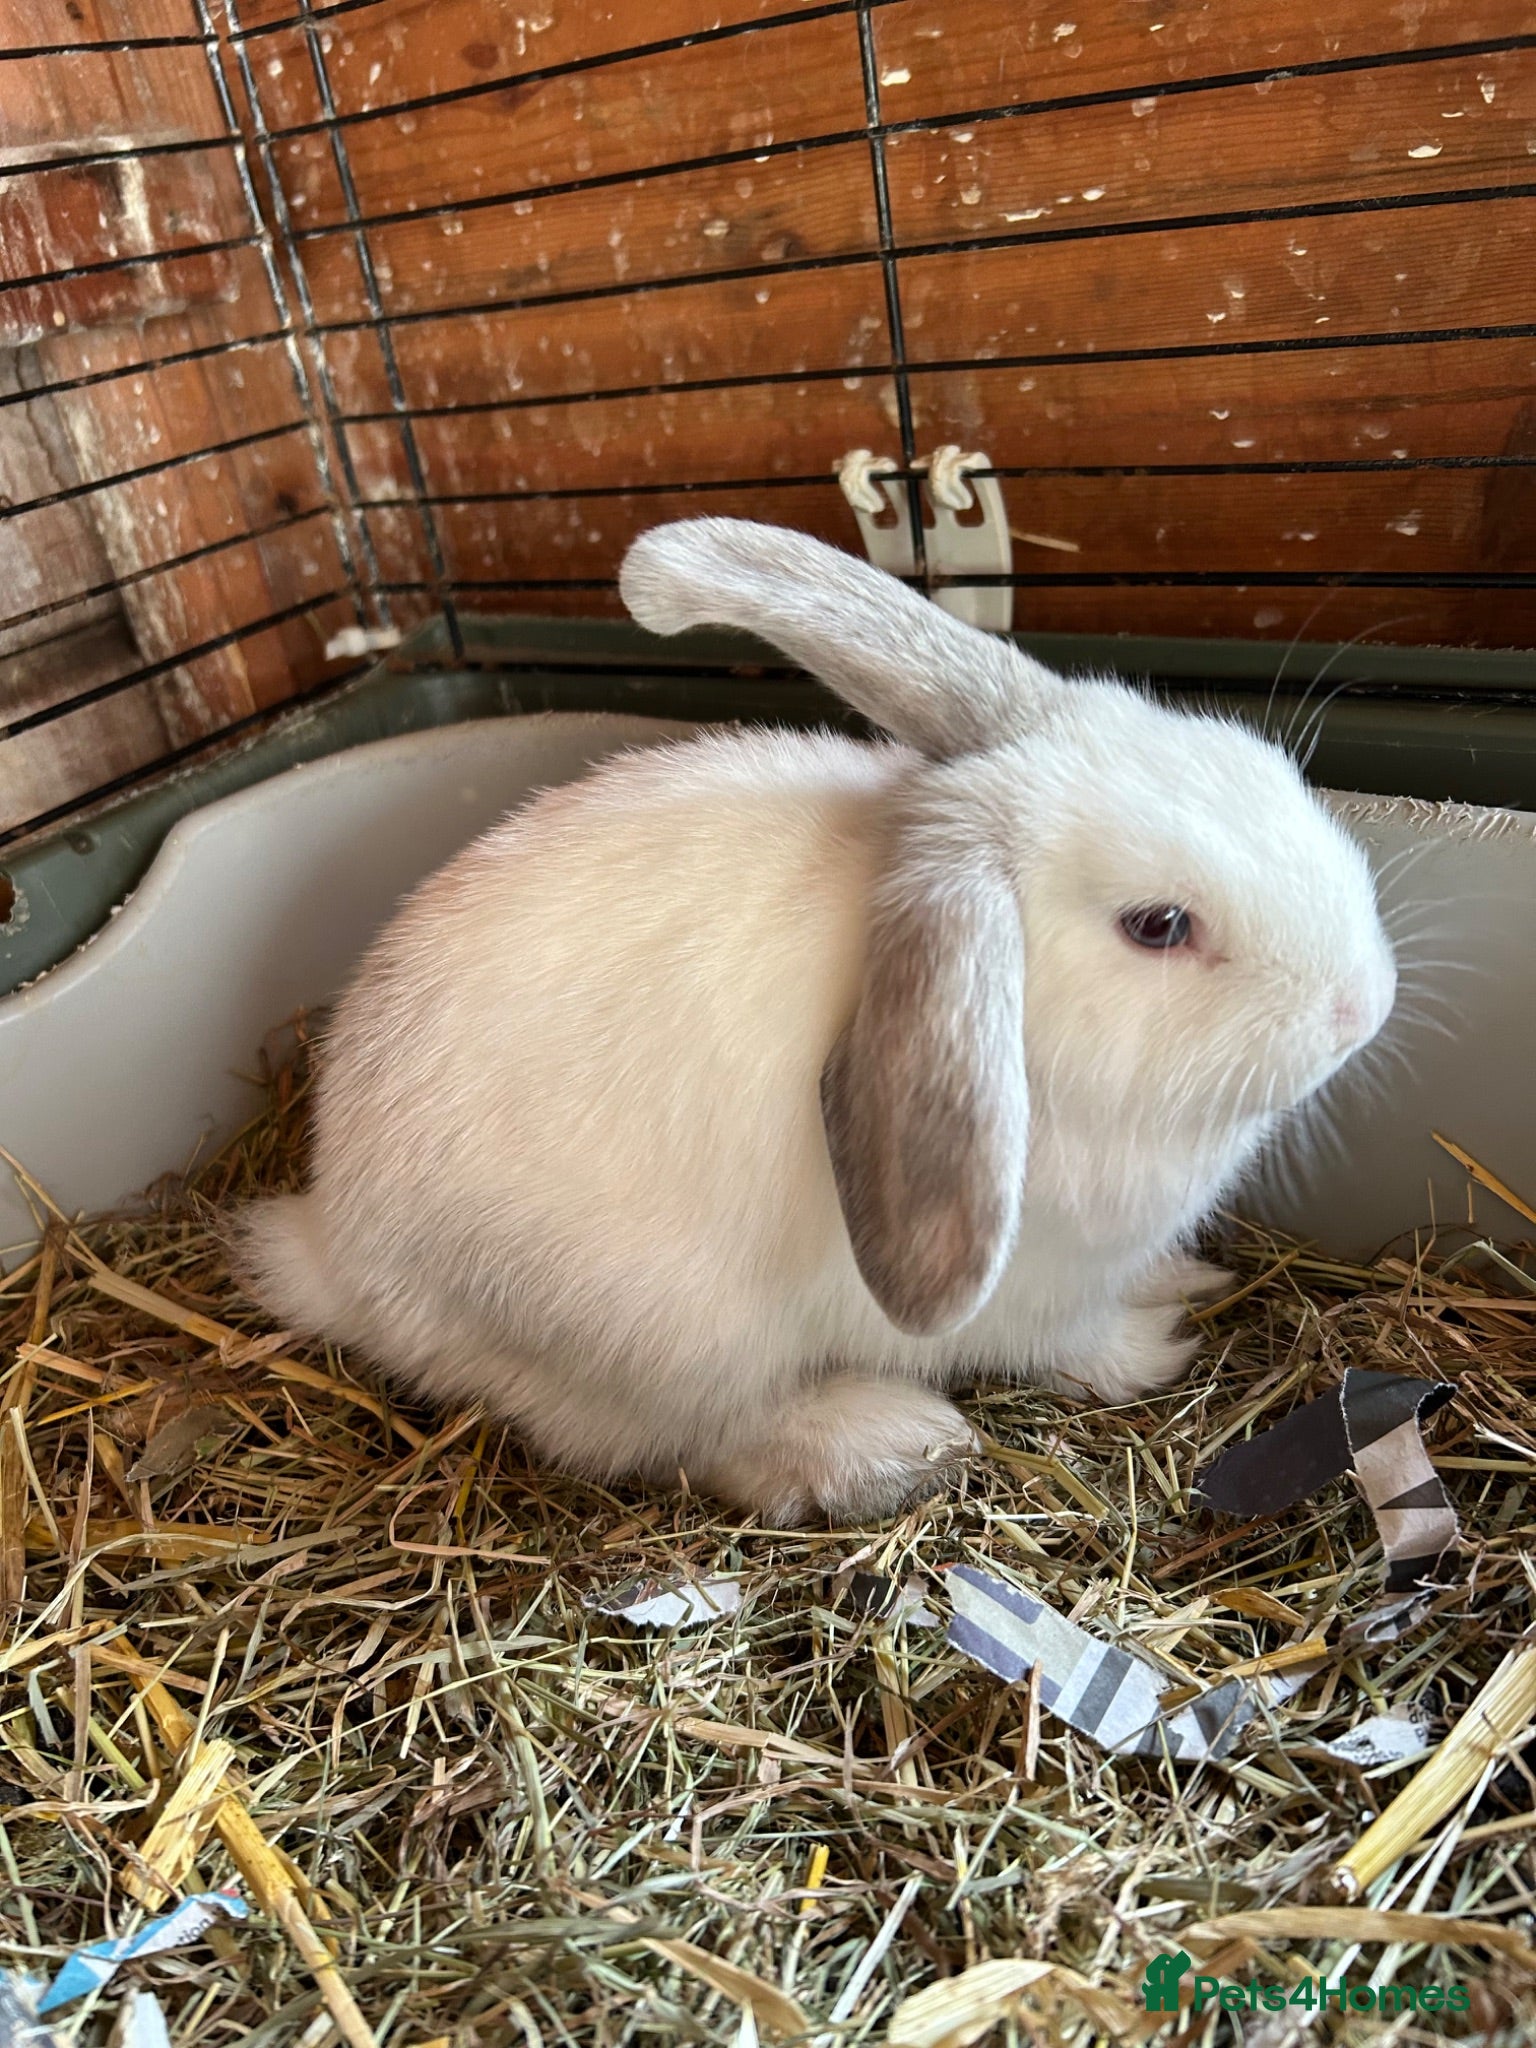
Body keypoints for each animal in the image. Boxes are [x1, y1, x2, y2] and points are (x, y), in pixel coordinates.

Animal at [234, 518, 1397, 1525]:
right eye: (1157, 926)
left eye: (1260, 764)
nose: (1365, 1002)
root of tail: (339, 1245)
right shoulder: (1038, 1293)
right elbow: (1079, 1343)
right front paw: (1154, 1345)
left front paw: (1187, 1278)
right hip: (663, 1342)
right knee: (690, 1439)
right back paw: (883, 1440)